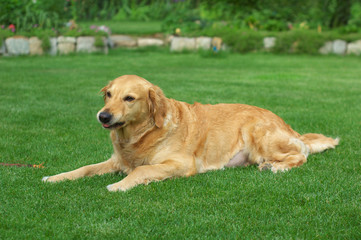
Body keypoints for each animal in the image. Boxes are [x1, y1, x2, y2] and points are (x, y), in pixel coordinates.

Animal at [42, 74, 338, 191]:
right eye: (108, 95)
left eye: (129, 98)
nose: (103, 116)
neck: (140, 135)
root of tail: (288, 125)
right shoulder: (116, 160)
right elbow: (83, 169)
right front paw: (55, 177)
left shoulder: (182, 163)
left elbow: (142, 169)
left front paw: (119, 185)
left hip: (258, 132)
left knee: (301, 155)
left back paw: (276, 167)